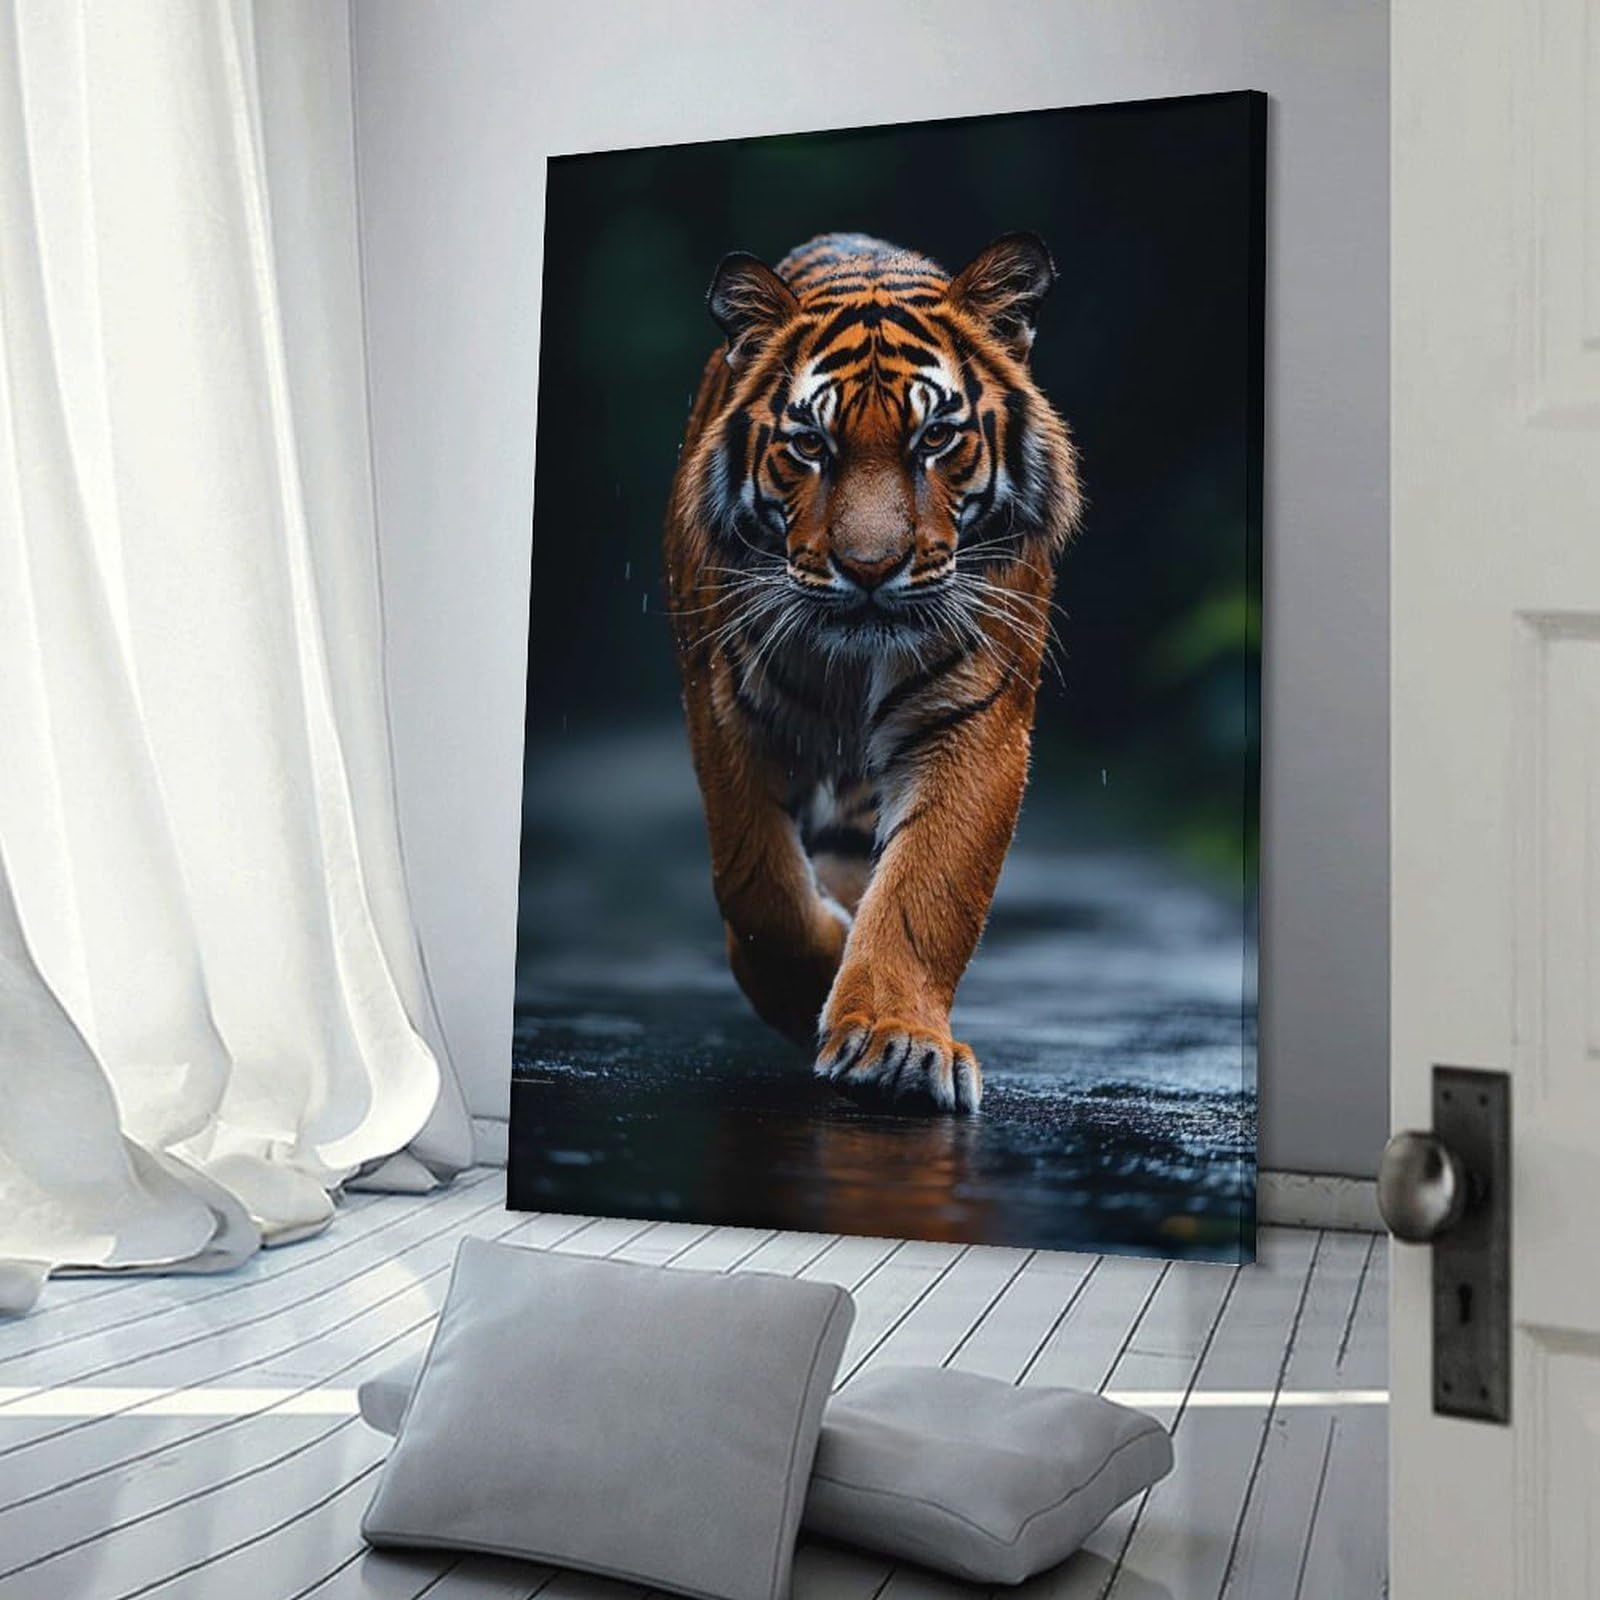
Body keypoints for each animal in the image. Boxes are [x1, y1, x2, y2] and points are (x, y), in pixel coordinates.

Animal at [664, 231, 1082, 1114]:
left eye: (935, 440)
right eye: (810, 445)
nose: (868, 568)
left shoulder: (974, 722)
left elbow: (928, 888)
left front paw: (895, 1042)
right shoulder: (725, 708)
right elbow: (759, 886)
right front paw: (820, 979)